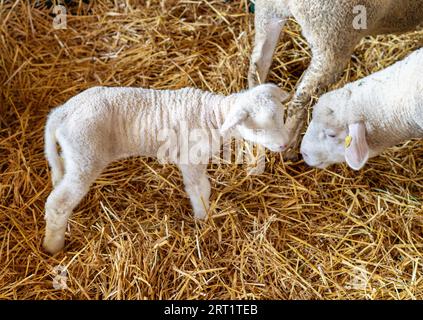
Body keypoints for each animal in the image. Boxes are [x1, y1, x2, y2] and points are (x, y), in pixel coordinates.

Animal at [43, 84, 290, 254]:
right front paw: (203, 219)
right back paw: (52, 246)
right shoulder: (190, 159)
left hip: (74, 154)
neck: (211, 116)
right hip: (86, 154)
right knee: (58, 203)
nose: (284, 145)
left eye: (281, 116)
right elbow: (198, 189)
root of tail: (63, 111)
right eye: (257, 129)